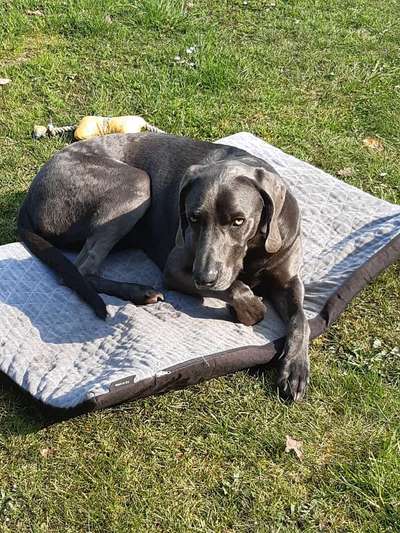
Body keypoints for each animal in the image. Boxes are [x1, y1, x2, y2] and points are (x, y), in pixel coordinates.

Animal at [18, 133, 310, 400]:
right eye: (193, 218)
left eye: (239, 221)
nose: (204, 278)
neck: (253, 250)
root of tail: (31, 195)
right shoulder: (175, 270)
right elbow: (238, 291)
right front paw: (250, 309)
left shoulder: (288, 279)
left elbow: (301, 318)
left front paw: (294, 368)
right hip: (136, 184)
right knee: (82, 269)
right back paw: (139, 291)